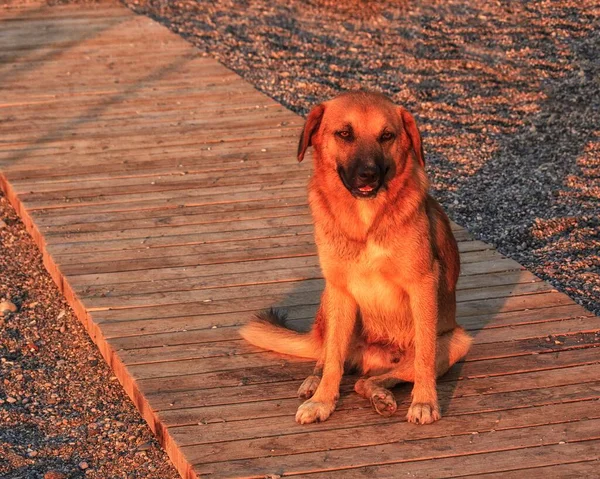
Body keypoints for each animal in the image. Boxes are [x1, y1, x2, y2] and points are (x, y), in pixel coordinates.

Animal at [241, 92, 472, 426]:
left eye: (387, 136)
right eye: (344, 134)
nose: (369, 174)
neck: (366, 220)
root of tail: (377, 357)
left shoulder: (423, 285)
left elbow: (424, 359)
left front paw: (425, 402)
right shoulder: (340, 290)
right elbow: (333, 362)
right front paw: (322, 401)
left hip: (457, 341)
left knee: (373, 379)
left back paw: (380, 394)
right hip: (329, 301)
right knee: (328, 357)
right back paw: (315, 382)